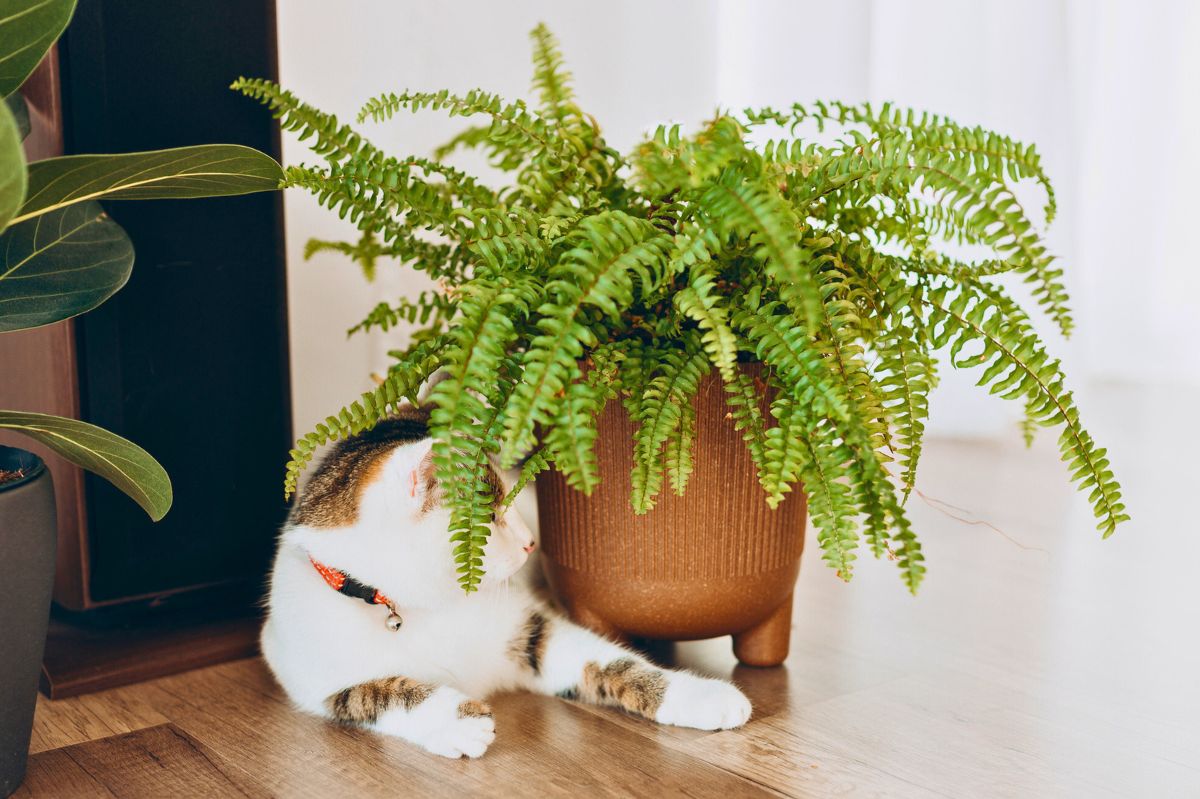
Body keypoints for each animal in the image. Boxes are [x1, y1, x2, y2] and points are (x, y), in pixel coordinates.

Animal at [261, 407, 748, 758]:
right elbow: (376, 693)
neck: (424, 604)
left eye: (509, 502)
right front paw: (458, 721)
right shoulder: (309, 670)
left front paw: (703, 695)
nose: (532, 542)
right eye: (490, 517)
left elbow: (615, 664)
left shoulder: (532, 630)